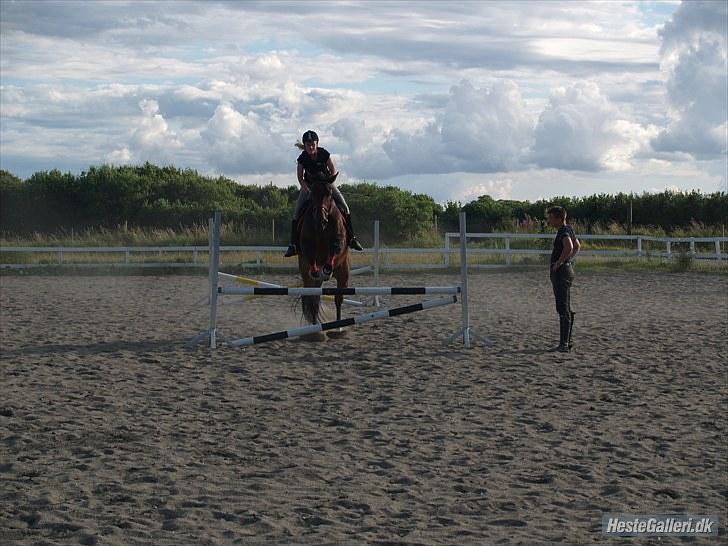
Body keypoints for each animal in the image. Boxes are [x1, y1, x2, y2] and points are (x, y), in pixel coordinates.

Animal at [298, 169, 352, 336]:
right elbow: (311, 254)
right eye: (312, 193)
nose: (320, 220)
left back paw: (339, 328)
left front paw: (327, 268)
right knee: (313, 300)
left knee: (338, 299)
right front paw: (317, 270)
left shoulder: (339, 242)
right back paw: (315, 332)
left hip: (343, 273)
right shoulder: (307, 246)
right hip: (308, 278)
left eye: (329, 193)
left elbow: (335, 248)